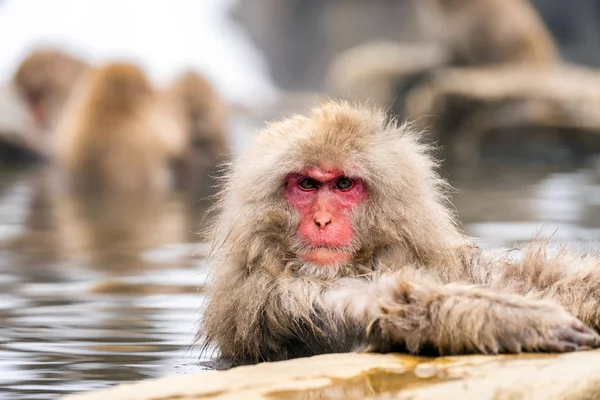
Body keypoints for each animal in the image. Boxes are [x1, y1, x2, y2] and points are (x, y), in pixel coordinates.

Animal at [200, 101, 600, 368]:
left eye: (343, 184)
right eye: (307, 185)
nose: (322, 221)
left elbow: (525, 278)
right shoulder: (279, 297)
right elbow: (389, 304)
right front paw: (518, 320)